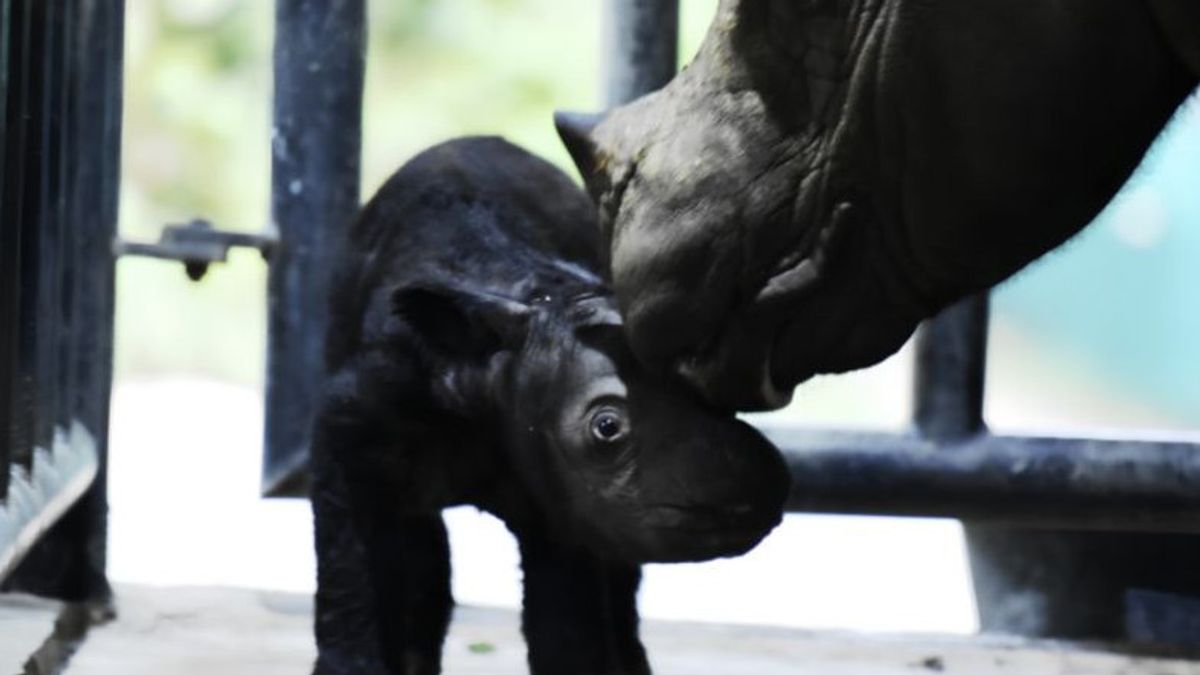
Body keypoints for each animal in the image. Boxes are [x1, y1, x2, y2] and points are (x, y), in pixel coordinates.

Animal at [309, 136, 787, 672]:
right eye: (606, 427)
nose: (764, 486)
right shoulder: (348, 434)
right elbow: (354, 589)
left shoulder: (566, 506)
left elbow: (567, 634)